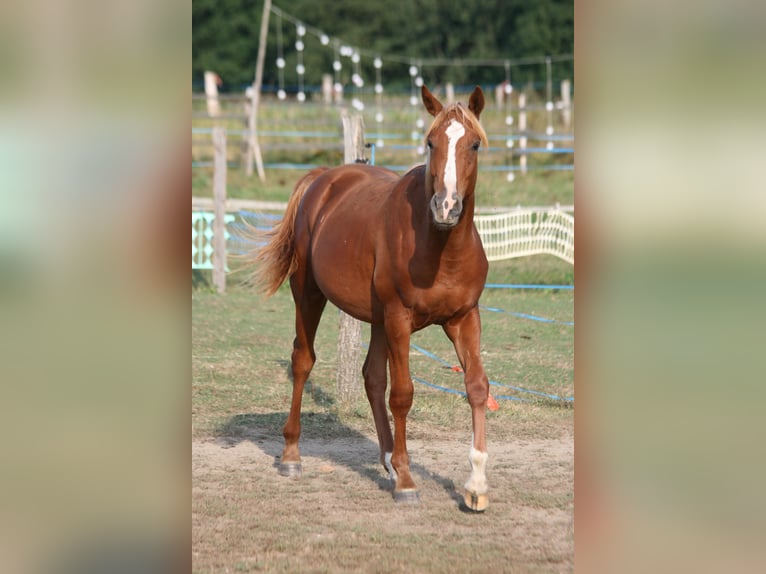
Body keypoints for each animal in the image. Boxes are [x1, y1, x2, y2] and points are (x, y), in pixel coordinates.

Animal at [255, 85, 488, 512]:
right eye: (430, 142)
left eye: (474, 144)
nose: (446, 207)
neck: (440, 247)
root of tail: (322, 180)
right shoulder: (400, 318)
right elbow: (403, 395)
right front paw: (408, 481)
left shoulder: (464, 318)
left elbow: (477, 386)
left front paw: (477, 485)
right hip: (310, 295)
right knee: (302, 361)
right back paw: (292, 455)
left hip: (379, 318)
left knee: (372, 377)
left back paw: (388, 461)